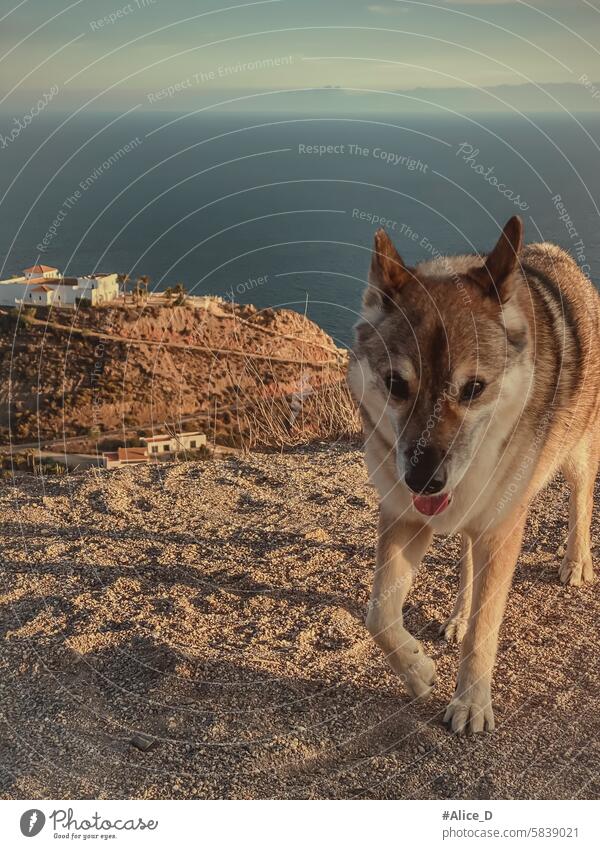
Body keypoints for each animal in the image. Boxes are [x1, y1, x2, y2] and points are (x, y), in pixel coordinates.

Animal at [346, 215, 600, 732]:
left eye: (474, 388)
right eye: (396, 384)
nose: (423, 481)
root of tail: (555, 253)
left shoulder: (500, 530)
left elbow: (485, 629)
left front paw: (470, 704)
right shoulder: (405, 517)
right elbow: (379, 614)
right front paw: (418, 671)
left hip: (578, 453)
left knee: (581, 502)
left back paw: (576, 562)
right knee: (465, 559)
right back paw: (457, 615)